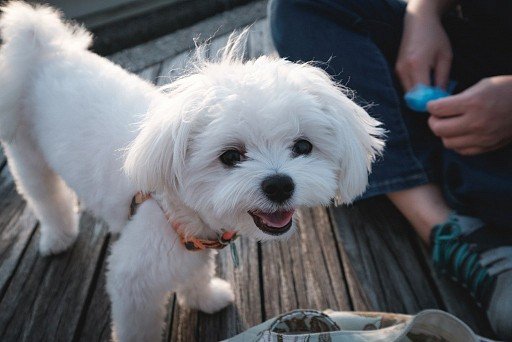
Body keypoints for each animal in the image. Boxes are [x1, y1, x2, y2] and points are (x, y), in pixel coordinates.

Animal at [0, 1, 384, 340]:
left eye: (303, 147)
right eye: (230, 156)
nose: (279, 185)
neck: (181, 213)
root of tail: (43, 49)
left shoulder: (197, 247)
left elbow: (197, 272)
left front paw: (205, 298)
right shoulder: (132, 281)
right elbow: (137, 326)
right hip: (26, 153)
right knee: (45, 196)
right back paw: (58, 238)